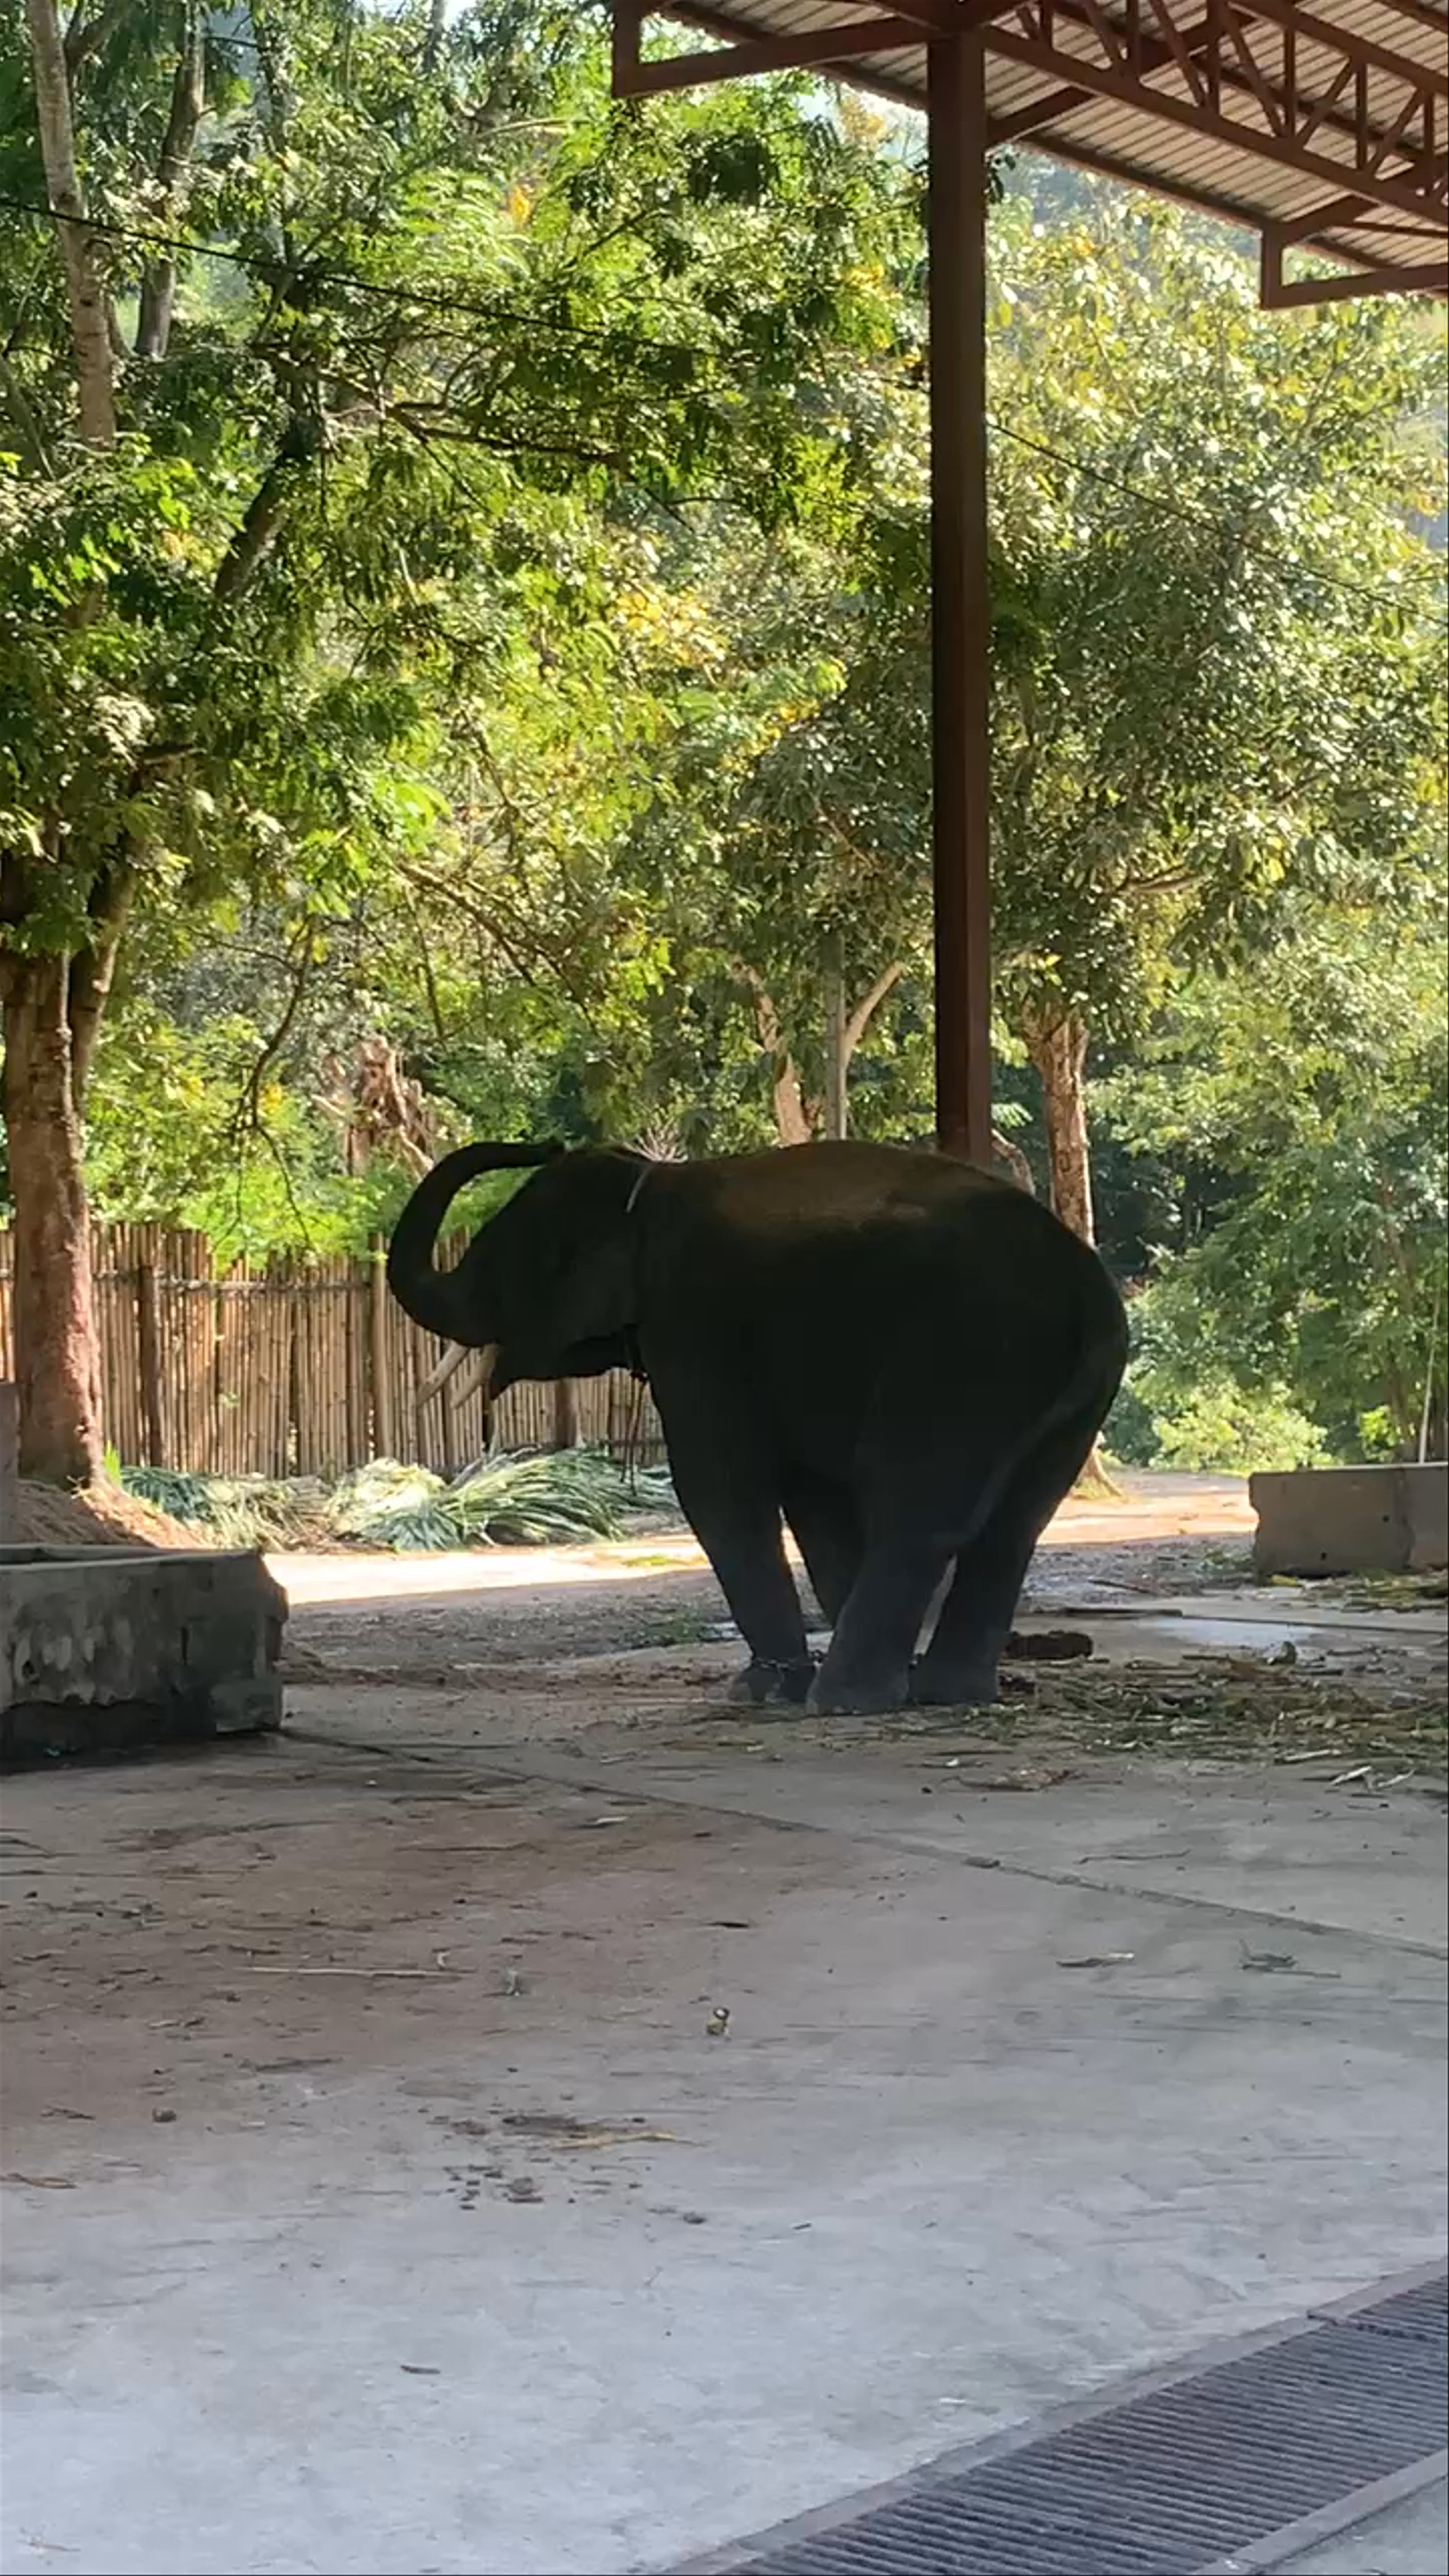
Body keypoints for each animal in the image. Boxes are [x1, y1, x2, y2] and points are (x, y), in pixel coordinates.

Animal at [386, 1138, 1128, 1716]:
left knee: (917, 1512)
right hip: (1070, 1386)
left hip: (966, 1353)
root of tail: (1085, 1289)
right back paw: (945, 1693)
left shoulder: (694, 1324)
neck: (645, 1189)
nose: (540, 1141)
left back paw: (846, 1701)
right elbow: (813, 1499)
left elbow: (718, 1489)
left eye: (496, 1262)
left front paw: (760, 1691)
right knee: (1014, 1526)